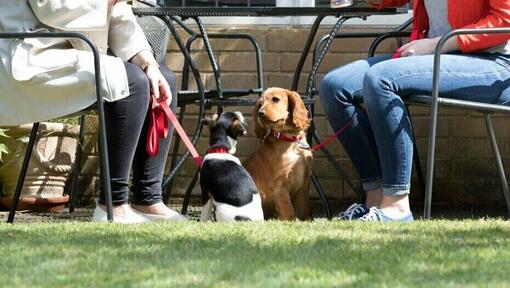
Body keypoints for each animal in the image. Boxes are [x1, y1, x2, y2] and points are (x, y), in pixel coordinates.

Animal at [242, 86, 310, 219]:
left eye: (275, 99)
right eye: (260, 104)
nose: (260, 113)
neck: (291, 140)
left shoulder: (303, 182)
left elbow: (304, 208)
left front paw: (307, 220)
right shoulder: (279, 184)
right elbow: (288, 211)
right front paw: (291, 221)